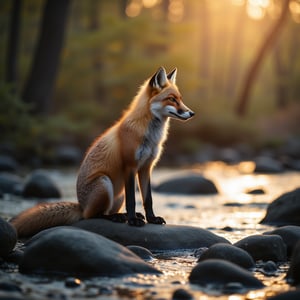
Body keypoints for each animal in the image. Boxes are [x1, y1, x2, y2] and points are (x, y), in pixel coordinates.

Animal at [9, 67, 195, 237]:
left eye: (180, 99)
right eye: (171, 99)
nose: (192, 113)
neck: (149, 136)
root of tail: (81, 205)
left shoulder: (145, 167)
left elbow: (148, 199)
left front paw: (151, 218)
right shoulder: (130, 165)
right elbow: (132, 200)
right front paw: (133, 221)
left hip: (117, 194)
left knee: (105, 211)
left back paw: (122, 215)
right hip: (104, 184)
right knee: (93, 216)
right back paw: (119, 217)